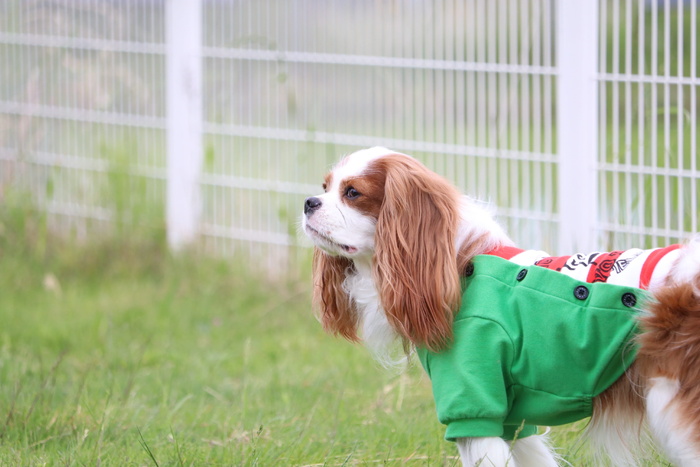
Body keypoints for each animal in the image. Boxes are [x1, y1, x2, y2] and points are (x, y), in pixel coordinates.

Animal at [300, 147, 700, 467]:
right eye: (325, 188)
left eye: (353, 193)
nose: (308, 203)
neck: (458, 266)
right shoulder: (512, 419)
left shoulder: (475, 403)